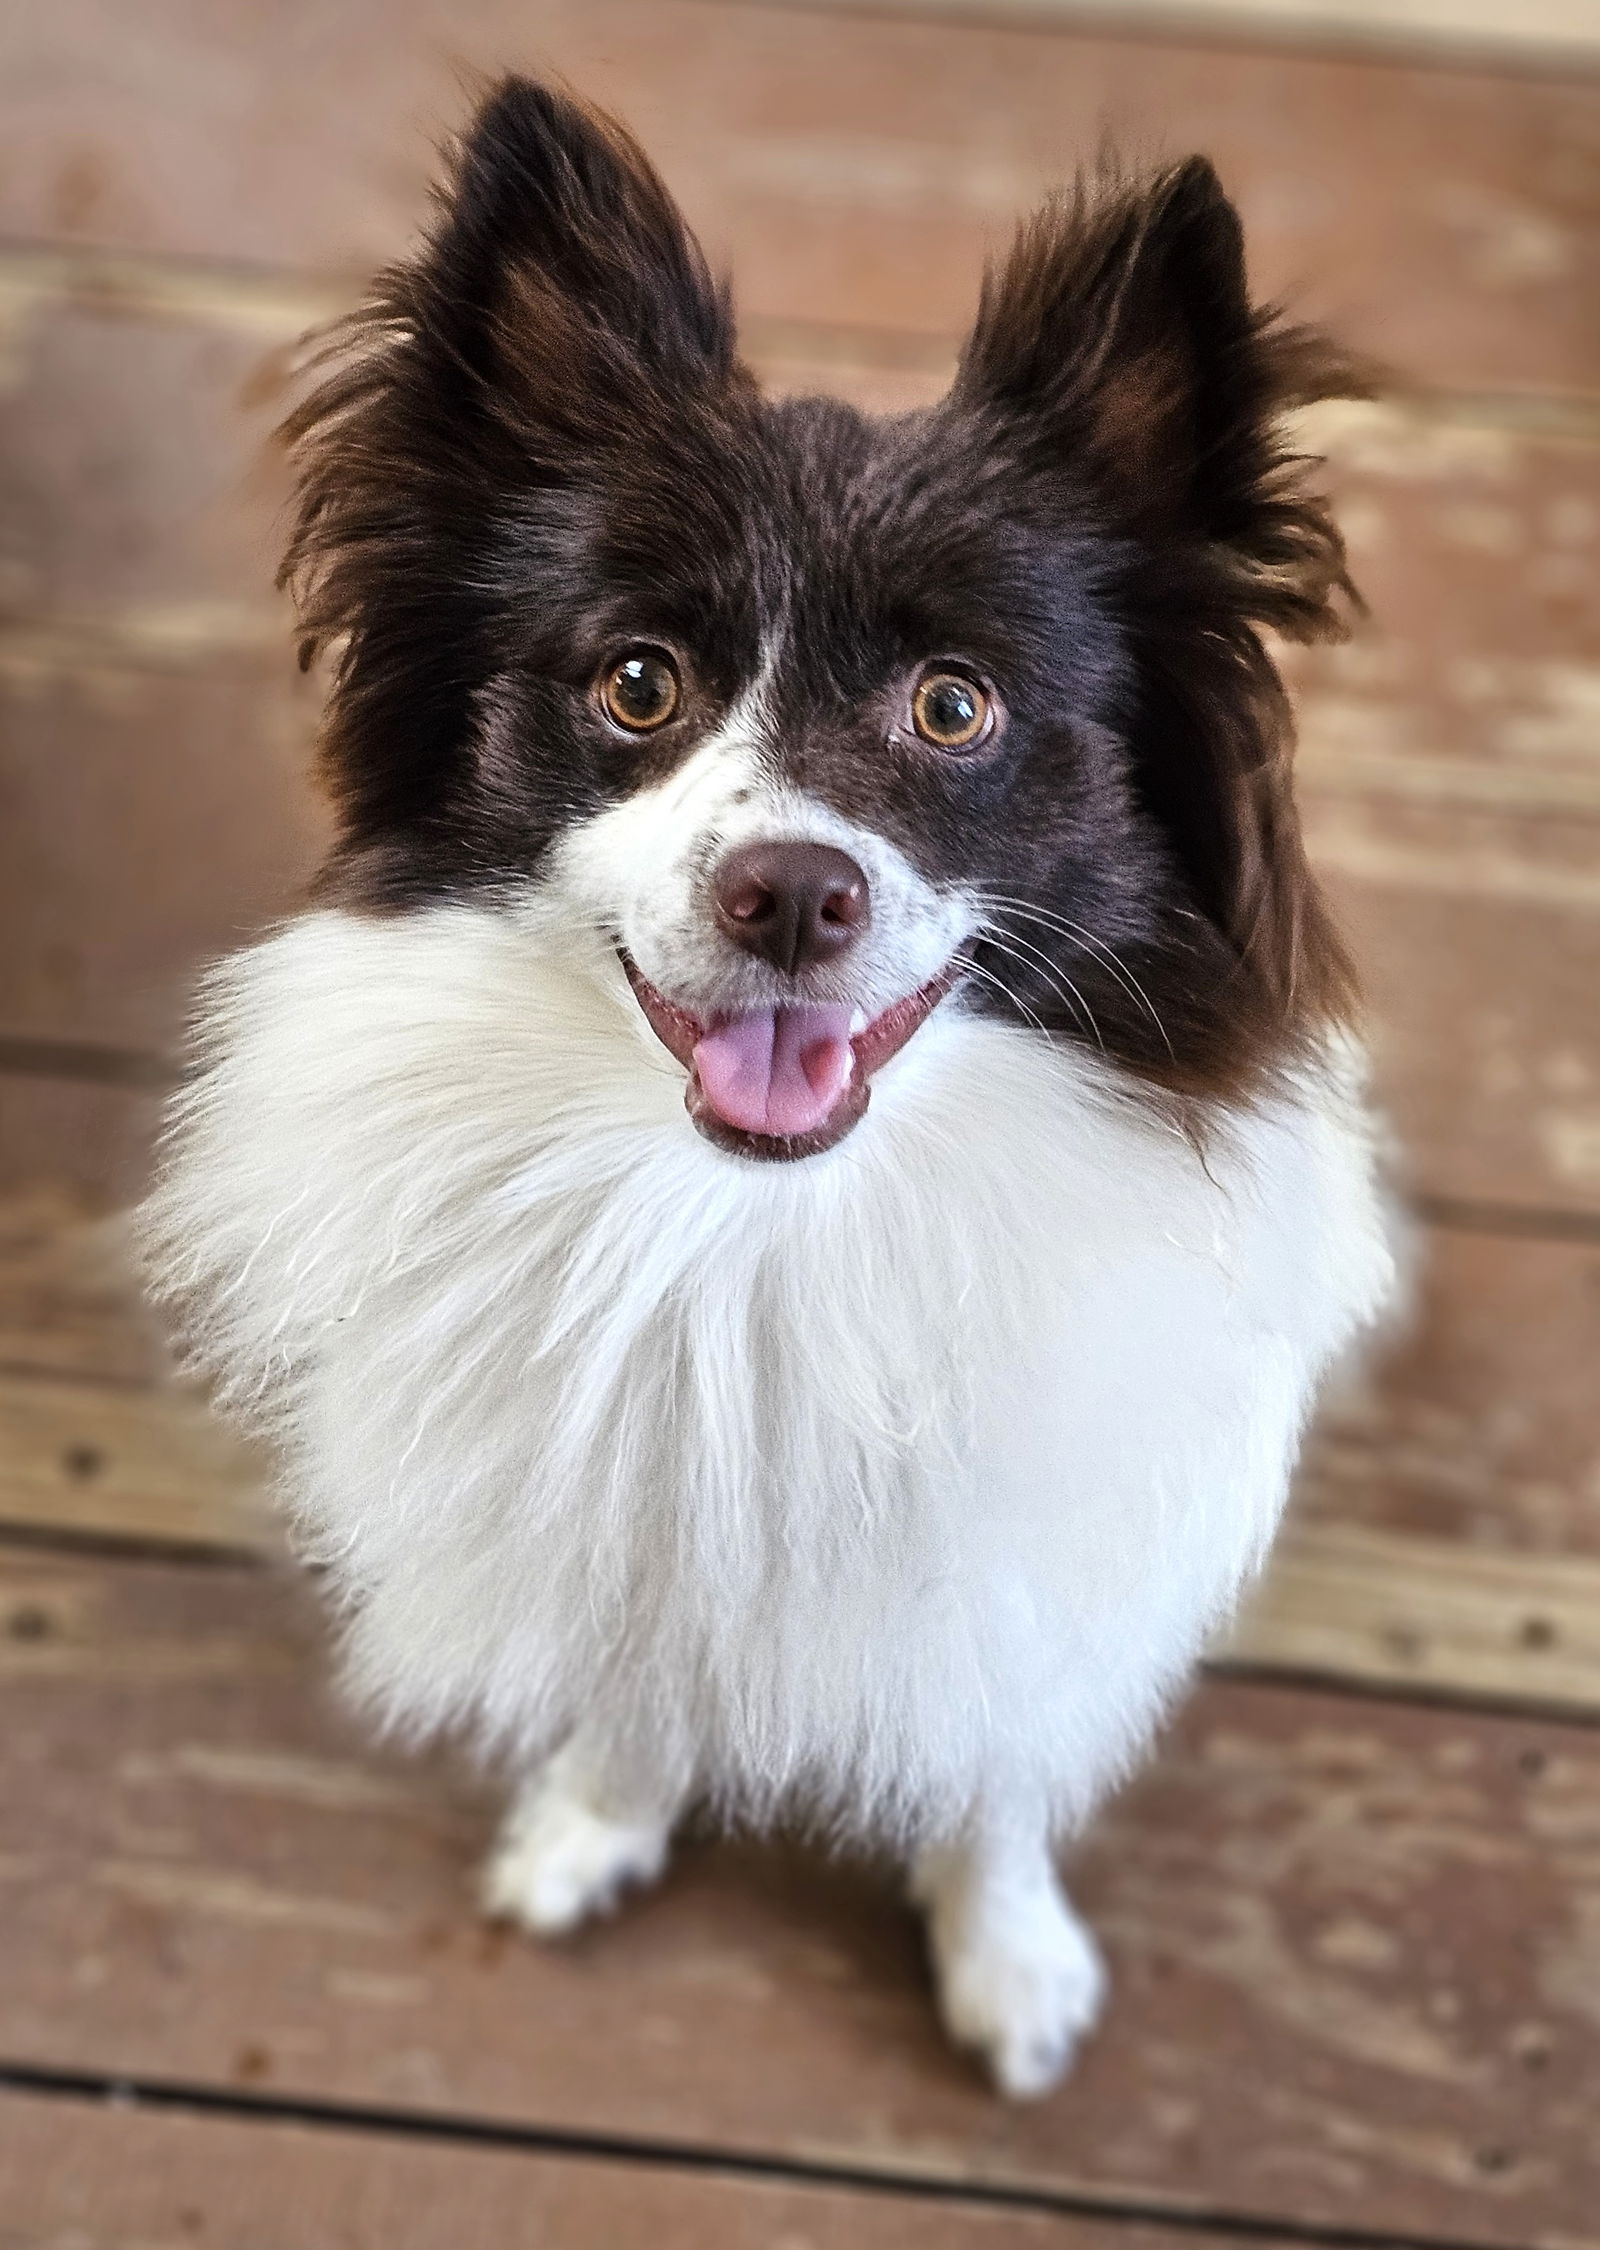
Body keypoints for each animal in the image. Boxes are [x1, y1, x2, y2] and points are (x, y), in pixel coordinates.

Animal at [147, 79, 1404, 2097]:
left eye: (958, 706)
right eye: (637, 682)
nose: (793, 894)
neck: (762, 1224)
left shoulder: (1028, 1573)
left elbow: (992, 1767)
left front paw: (1008, 1954)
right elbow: (641, 1670)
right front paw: (596, 1813)